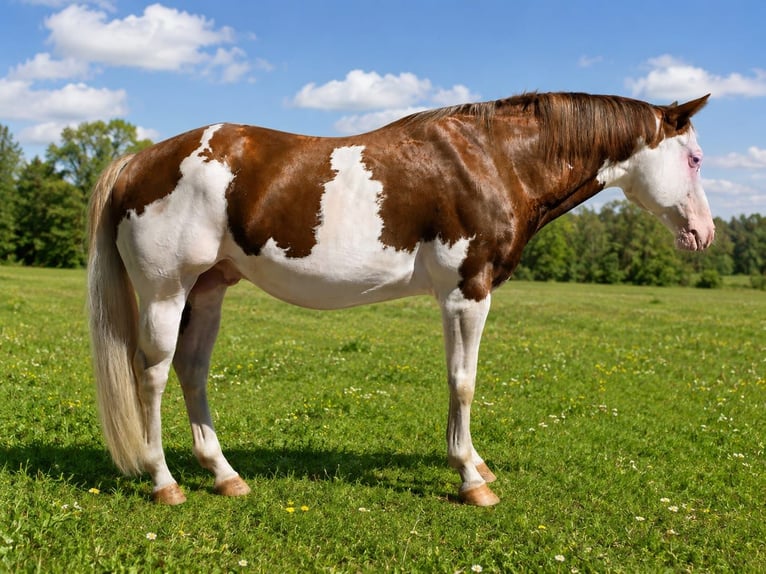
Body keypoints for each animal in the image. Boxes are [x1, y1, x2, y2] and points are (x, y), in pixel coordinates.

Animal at [87, 91, 714, 506]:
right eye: (695, 159)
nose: (703, 234)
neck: (492, 158)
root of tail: (137, 162)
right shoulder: (466, 293)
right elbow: (463, 381)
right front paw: (470, 479)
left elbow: (460, 380)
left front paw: (477, 464)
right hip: (166, 292)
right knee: (153, 375)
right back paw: (164, 482)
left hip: (209, 290)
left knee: (192, 371)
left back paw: (224, 474)